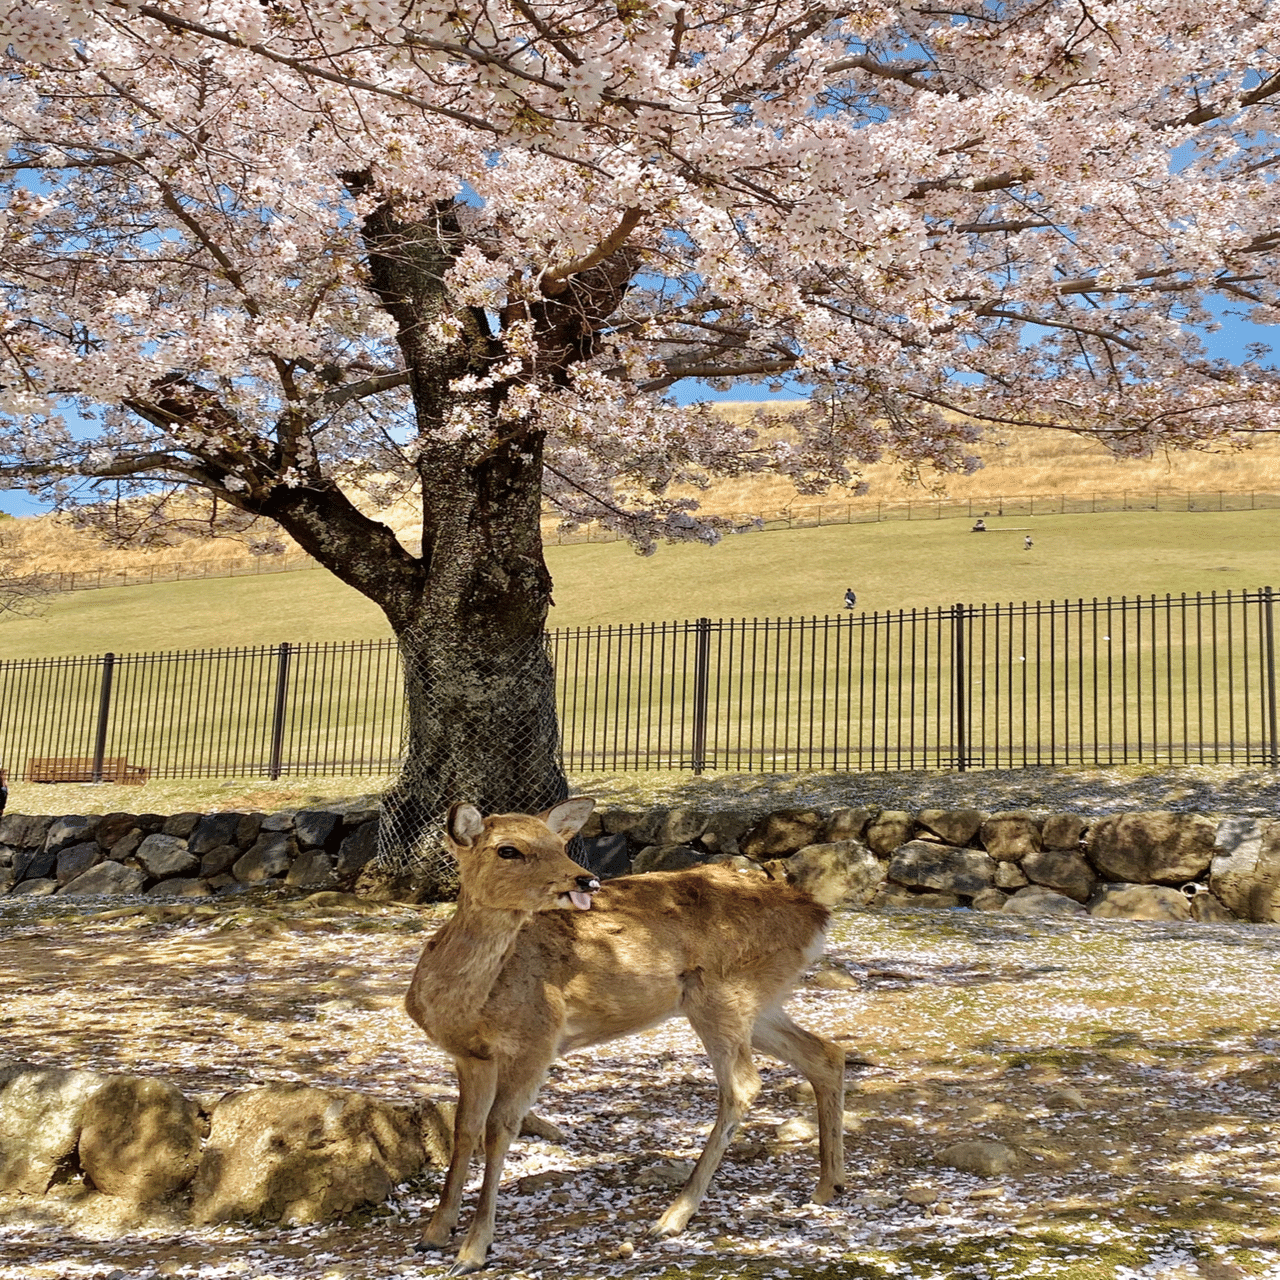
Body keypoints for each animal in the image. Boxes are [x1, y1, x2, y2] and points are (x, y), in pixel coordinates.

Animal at [404, 797, 847, 1274]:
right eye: (508, 849)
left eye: (558, 843)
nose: (585, 879)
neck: (464, 1005)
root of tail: (818, 916)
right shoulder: (470, 1055)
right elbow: (465, 1128)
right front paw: (433, 1233)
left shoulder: (537, 1041)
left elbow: (499, 1128)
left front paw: (472, 1251)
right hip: (760, 1002)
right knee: (826, 1053)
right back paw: (828, 1186)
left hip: (723, 995)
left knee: (744, 1085)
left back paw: (672, 1217)